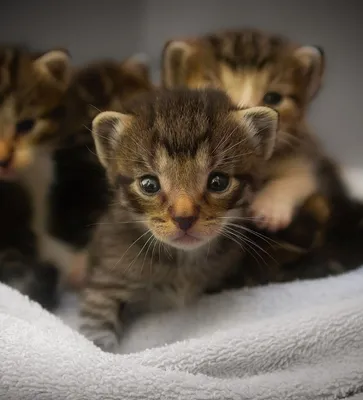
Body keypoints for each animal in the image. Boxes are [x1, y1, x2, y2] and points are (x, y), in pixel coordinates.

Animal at [79, 86, 278, 350]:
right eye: (149, 184)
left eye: (218, 182)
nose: (184, 218)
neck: (183, 263)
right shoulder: (106, 281)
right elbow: (96, 330)